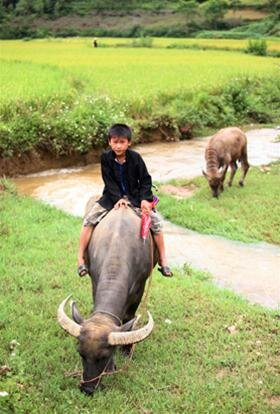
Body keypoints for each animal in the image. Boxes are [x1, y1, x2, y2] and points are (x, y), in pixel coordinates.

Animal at [57, 207, 156, 394]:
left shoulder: (139, 287)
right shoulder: (94, 280)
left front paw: (126, 351)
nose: (87, 389)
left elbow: (129, 317)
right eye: (80, 352)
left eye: (106, 356)